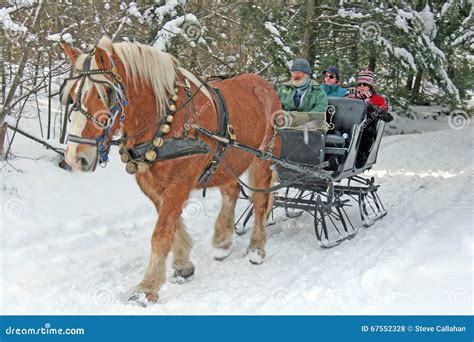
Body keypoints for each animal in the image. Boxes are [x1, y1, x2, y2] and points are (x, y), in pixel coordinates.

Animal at [61, 36, 280, 304]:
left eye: (106, 94)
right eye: (72, 94)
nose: (75, 157)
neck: (164, 119)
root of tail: (264, 83)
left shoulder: (180, 183)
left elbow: (161, 233)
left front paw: (147, 288)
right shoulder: (151, 185)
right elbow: (172, 225)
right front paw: (183, 265)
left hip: (263, 159)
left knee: (259, 201)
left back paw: (256, 248)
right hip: (227, 160)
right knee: (231, 190)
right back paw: (222, 241)